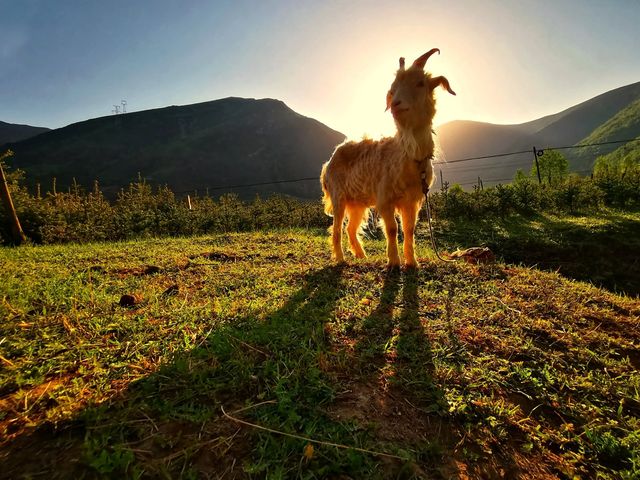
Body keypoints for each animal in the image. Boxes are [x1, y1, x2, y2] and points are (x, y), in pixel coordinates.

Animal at [320, 49, 456, 268]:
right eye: (393, 88)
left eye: (420, 83)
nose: (395, 104)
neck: (410, 156)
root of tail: (329, 162)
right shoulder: (385, 197)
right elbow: (392, 229)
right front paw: (393, 262)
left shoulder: (412, 200)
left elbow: (409, 230)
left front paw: (412, 262)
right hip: (338, 195)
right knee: (337, 228)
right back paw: (340, 259)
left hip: (357, 202)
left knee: (350, 228)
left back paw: (361, 256)